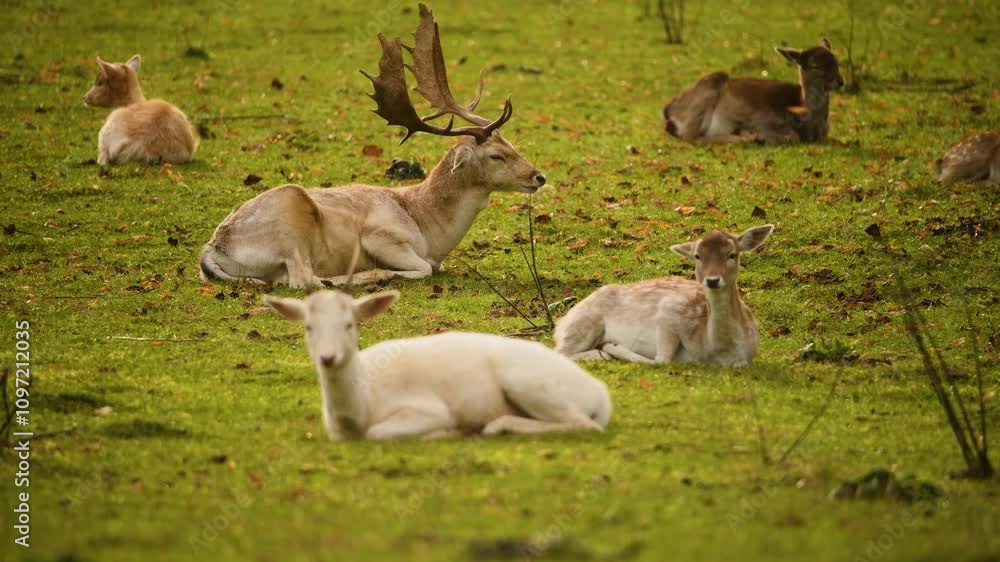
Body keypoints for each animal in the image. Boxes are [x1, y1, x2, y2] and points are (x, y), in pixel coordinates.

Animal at [199, 4, 545, 289]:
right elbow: (425, 268)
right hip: (291, 221)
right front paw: (387, 271)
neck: (428, 228)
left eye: (512, 144)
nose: (539, 176)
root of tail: (212, 250)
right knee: (302, 280)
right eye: (496, 155)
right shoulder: (380, 236)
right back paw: (367, 276)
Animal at [264, 264, 612, 439]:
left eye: (350, 324)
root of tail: (601, 394)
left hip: (529, 383)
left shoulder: (426, 409)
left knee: (584, 424)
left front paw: (445, 432)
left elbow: (378, 433)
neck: (358, 410)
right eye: (308, 327)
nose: (328, 357)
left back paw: (494, 427)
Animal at [554, 225, 774, 367]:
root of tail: (560, 323)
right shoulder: (670, 310)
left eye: (732, 254)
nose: (712, 280)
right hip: (584, 323)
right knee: (559, 352)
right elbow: (662, 360)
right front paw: (613, 346)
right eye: (697, 256)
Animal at [662, 39, 844, 144]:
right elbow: (792, 137)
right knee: (690, 137)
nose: (841, 82)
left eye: (836, 61)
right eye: (815, 66)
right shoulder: (763, 119)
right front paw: (756, 135)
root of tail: (667, 110)